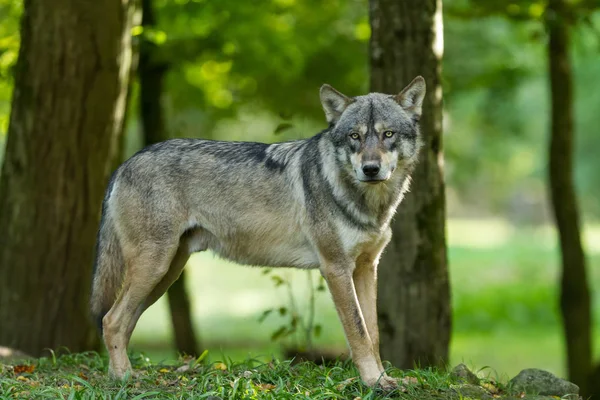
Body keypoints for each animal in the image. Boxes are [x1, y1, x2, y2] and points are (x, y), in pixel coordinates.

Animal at [89, 75, 426, 388]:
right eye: (355, 136)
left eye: (388, 134)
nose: (370, 169)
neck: (370, 205)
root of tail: (124, 164)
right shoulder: (335, 268)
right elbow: (358, 331)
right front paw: (372, 383)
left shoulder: (366, 268)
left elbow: (373, 333)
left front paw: (383, 378)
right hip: (154, 268)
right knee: (111, 320)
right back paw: (123, 379)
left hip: (165, 275)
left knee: (122, 322)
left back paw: (127, 375)